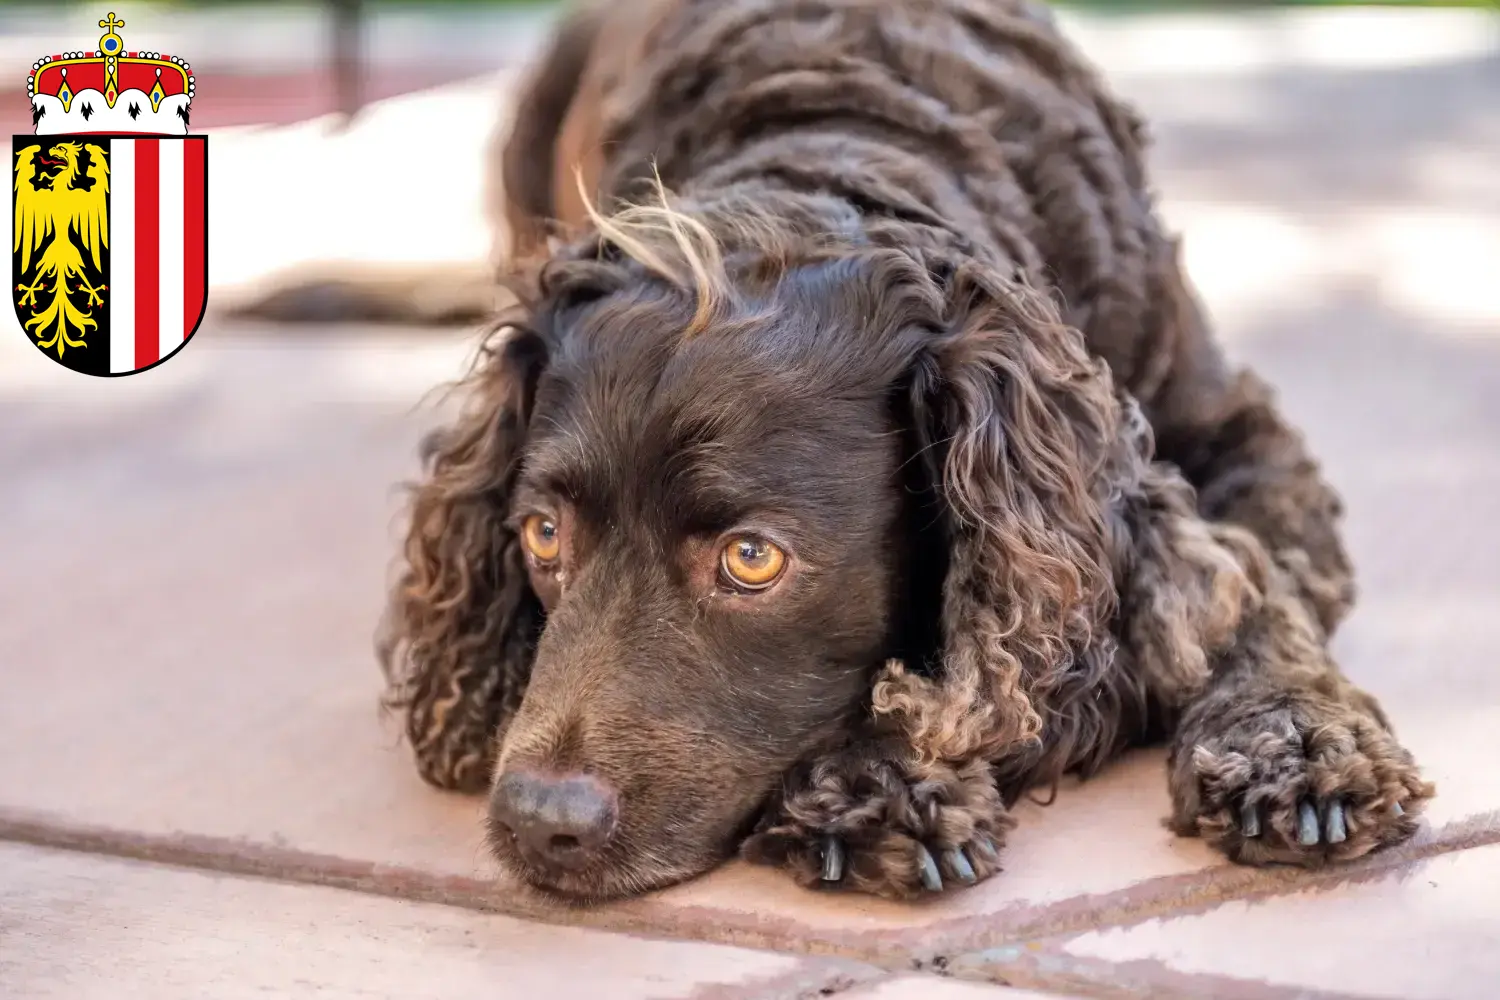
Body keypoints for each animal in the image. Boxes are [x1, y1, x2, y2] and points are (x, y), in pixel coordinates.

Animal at [331, 0, 1440, 905]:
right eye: (543, 535)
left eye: (753, 559)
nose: (538, 822)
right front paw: (879, 775)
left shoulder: (1241, 441)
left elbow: (1258, 589)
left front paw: (1295, 742)